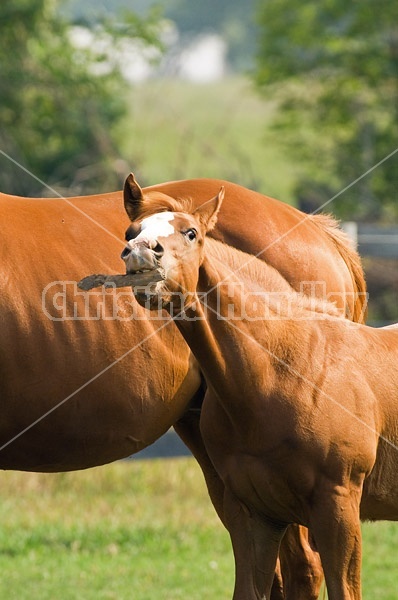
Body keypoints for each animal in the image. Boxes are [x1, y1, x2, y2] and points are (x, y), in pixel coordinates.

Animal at [121, 188, 398, 600]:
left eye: (191, 233)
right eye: (130, 232)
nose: (141, 255)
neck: (284, 369)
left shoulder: (338, 506)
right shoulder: (255, 515)